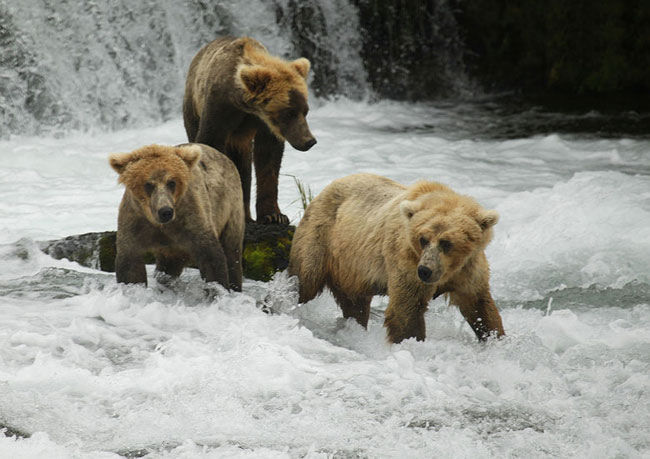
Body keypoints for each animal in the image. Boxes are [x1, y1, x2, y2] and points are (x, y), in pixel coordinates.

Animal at [109, 144, 246, 292]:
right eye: (148, 184)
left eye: (171, 182)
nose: (165, 211)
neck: (158, 223)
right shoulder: (135, 221)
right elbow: (130, 265)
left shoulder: (191, 217)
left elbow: (211, 256)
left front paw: (218, 288)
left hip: (231, 207)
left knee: (231, 250)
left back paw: (235, 285)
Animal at [182, 37, 316, 226]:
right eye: (289, 112)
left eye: (305, 111)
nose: (309, 141)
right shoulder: (219, 108)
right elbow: (210, 141)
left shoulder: (264, 125)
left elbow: (268, 159)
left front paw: (274, 215)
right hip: (192, 107)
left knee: (243, 169)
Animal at [288, 174, 506, 344]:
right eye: (423, 239)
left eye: (446, 242)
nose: (425, 270)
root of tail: (326, 189)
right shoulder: (405, 259)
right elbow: (406, 309)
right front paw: (412, 343)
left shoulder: (469, 270)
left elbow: (480, 305)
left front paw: (495, 339)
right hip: (322, 238)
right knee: (303, 279)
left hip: (351, 269)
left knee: (355, 304)